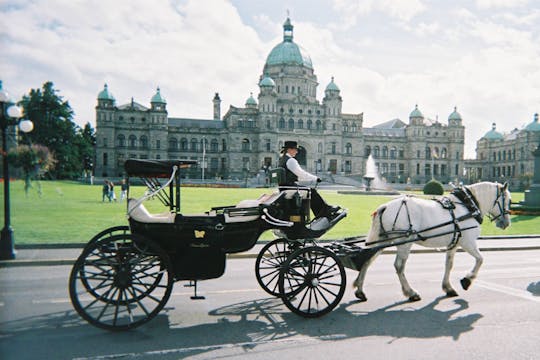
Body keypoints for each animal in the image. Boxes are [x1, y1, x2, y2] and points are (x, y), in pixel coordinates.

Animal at [354, 181, 510, 302]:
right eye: (508, 201)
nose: (506, 223)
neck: (468, 205)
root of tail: (385, 206)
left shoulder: (453, 244)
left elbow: (449, 265)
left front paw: (448, 287)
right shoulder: (468, 242)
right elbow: (480, 259)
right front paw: (467, 280)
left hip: (382, 241)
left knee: (367, 261)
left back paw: (360, 290)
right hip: (405, 242)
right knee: (399, 266)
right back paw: (411, 292)